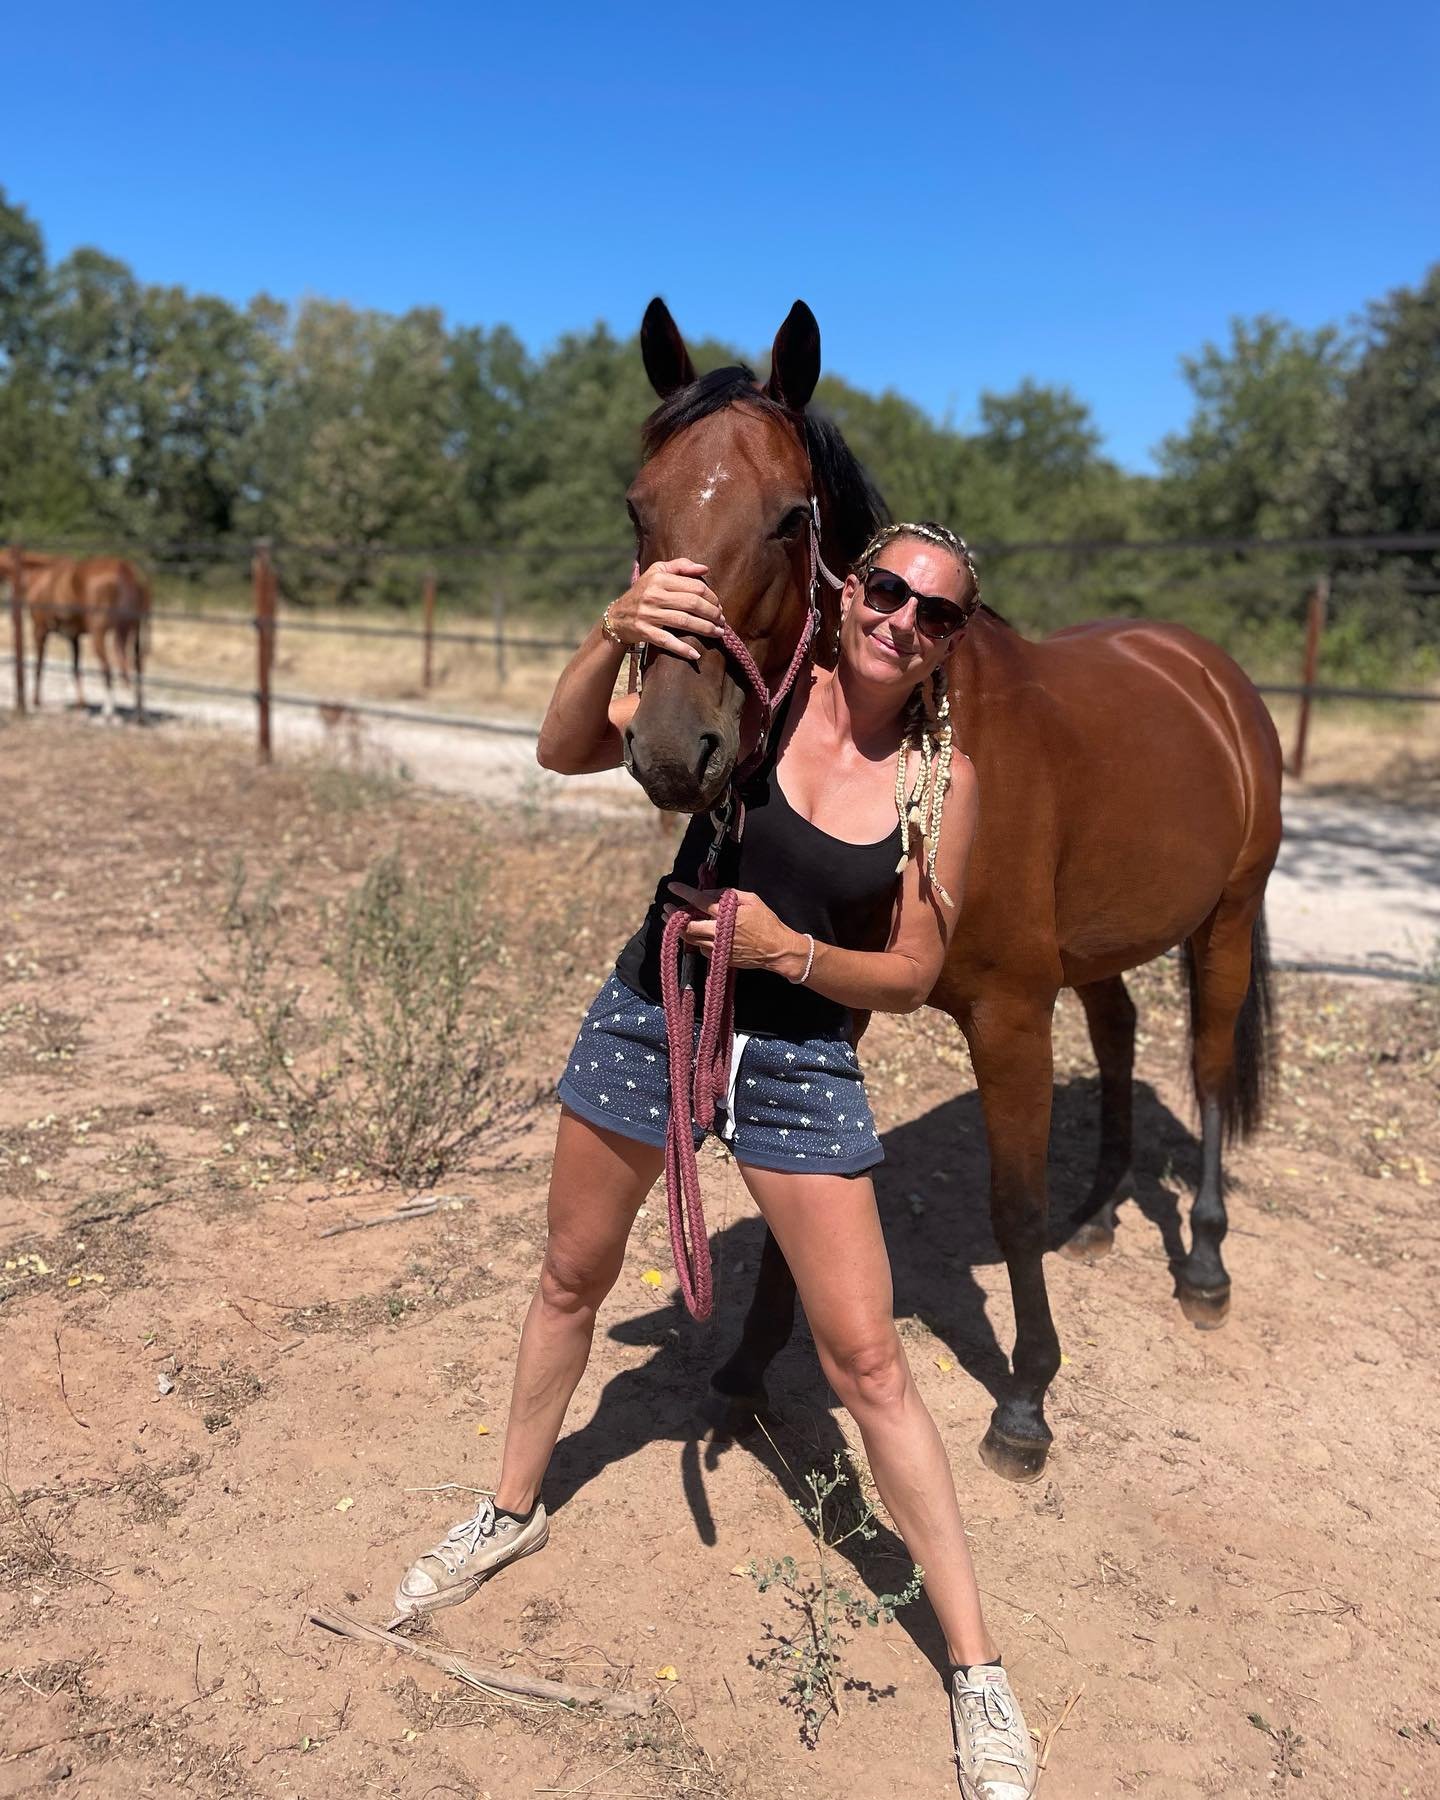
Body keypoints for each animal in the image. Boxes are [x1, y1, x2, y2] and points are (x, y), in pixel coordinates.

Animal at [7, 551, 150, 721]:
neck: (40, 577)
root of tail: (124, 569)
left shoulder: (40, 631)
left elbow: (39, 666)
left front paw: (36, 702)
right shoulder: (73, 638)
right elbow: (75, 668)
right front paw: (81, 705)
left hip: (99, 634)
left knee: (107, 667)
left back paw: (108, 712)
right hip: (135, 633)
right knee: (138, 668)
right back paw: (139, 713)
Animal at [622, 297, 1283, 1482]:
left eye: (790, 518)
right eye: (637, 507)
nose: (670, 750)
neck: (912, 716)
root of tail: (1209, 673)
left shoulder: (1009, 1011)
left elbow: (1010, 1204)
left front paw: (1025, 1400)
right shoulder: (834, 988)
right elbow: (809, 1180)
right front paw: (745, 1373)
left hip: (1228, 917)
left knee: (1208, 1069)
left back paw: (1203, 1265)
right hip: (1103, 945)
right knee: (1118, 1034)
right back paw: (1102, 1211)